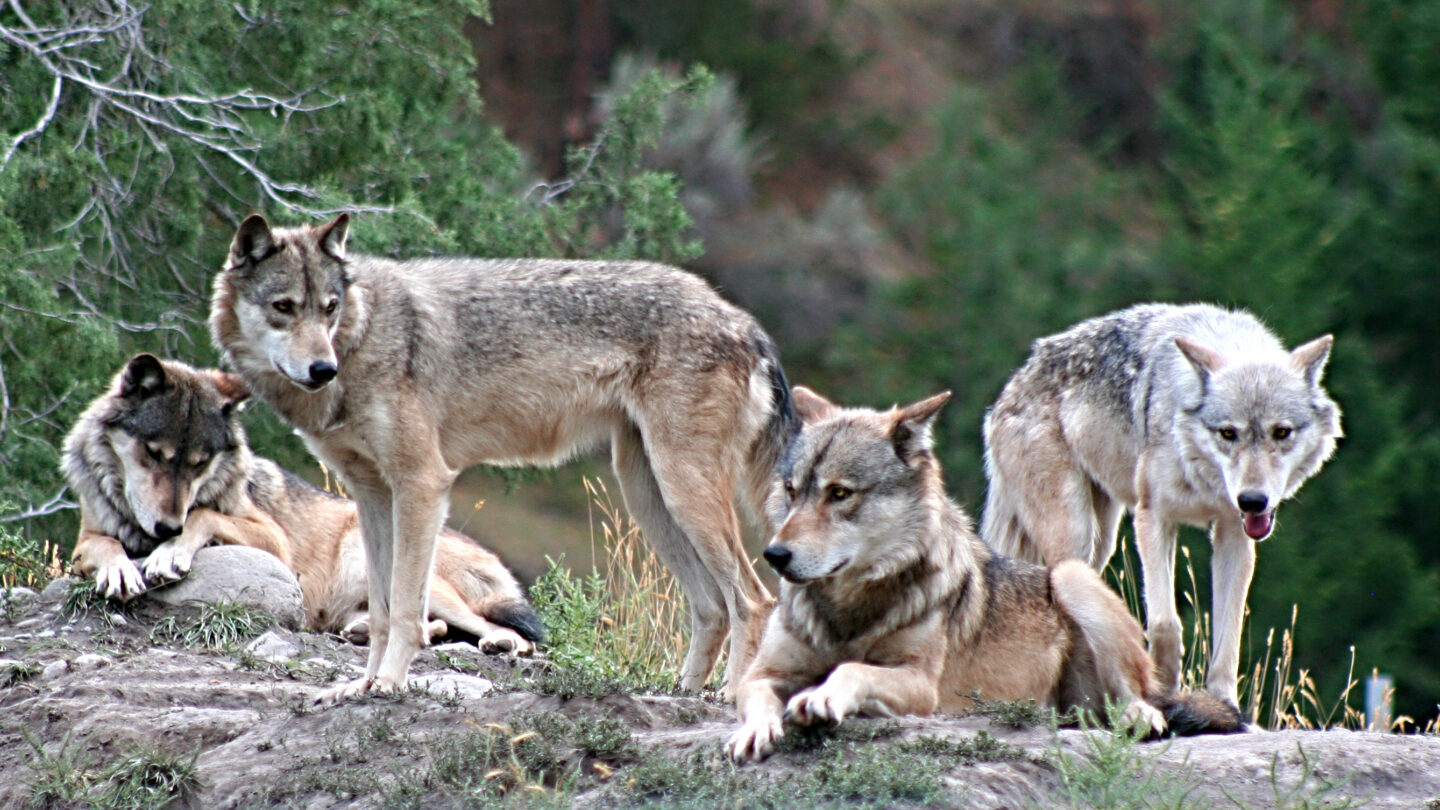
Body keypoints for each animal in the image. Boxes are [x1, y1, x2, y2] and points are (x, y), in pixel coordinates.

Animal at [63, 354, 544, 654]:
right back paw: (363, 631)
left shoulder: (272, 538)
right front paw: (120, 569)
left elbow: (202, 513)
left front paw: (168, 554)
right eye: (154, 453)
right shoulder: (85, 541)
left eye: (200, 464)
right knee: (423, 627)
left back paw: (500, 642)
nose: (167, 528)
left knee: (506, 633)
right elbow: (106, 547)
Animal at [210, 213, 796, 702]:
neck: (364, 335)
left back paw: (730, 696)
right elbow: (379, 612)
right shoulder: (372, 496)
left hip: (682, 491)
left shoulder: (422, 484)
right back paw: (683, 692)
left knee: (754, 600)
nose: (322, 369)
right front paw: (361, 685)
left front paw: (390, 685)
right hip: (647, 495)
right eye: (284, 307)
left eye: (329, 308)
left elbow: (406, 611)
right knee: (712, 606)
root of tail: (745, 322)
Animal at [725, 387, 1241, 763]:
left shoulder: (921, 685)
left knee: (1142, 697)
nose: (775, 555)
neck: (848, 611)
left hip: (1071, 575)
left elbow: (851, 668)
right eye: (792, 491)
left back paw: (1140, 717)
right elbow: (755, 697)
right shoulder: (763, 673)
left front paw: (821, 698)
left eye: (838, 493)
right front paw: (754, 731)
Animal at [981, 303, 1341, 707]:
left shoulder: (1233, 532)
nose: (1252, 500)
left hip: (1100, 542)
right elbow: (1165, 623)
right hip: (1075, 533)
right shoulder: (1153, 518)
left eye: (1281, 432)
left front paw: (1225, 705)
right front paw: (1162, 690)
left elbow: (1228, 634)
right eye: (1228, 433)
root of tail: (1011, 386)